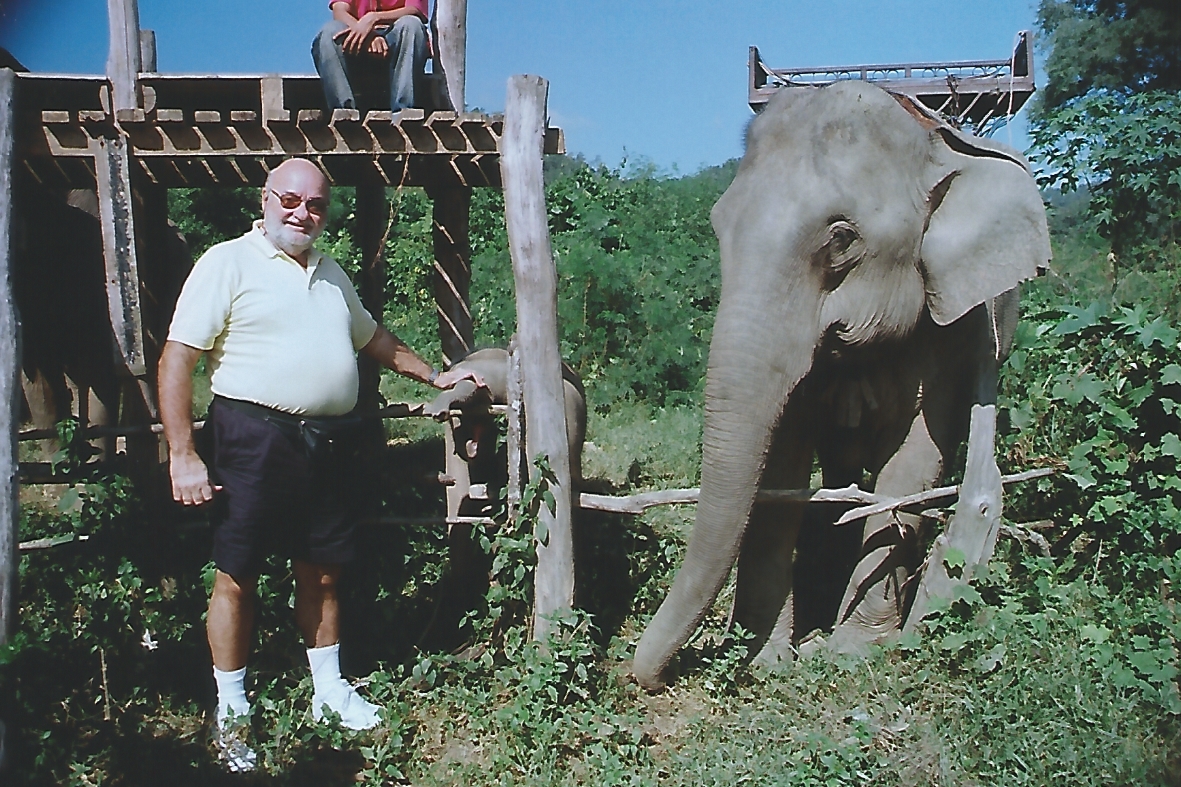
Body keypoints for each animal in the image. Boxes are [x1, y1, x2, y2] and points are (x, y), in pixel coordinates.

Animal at [633, 82, 1048, 690]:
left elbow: (916, 459)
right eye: (718, 225)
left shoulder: (955, 328)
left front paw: (853, 651)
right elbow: (782, 455)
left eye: (842, 238)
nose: (634, 673)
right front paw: (766, 658)